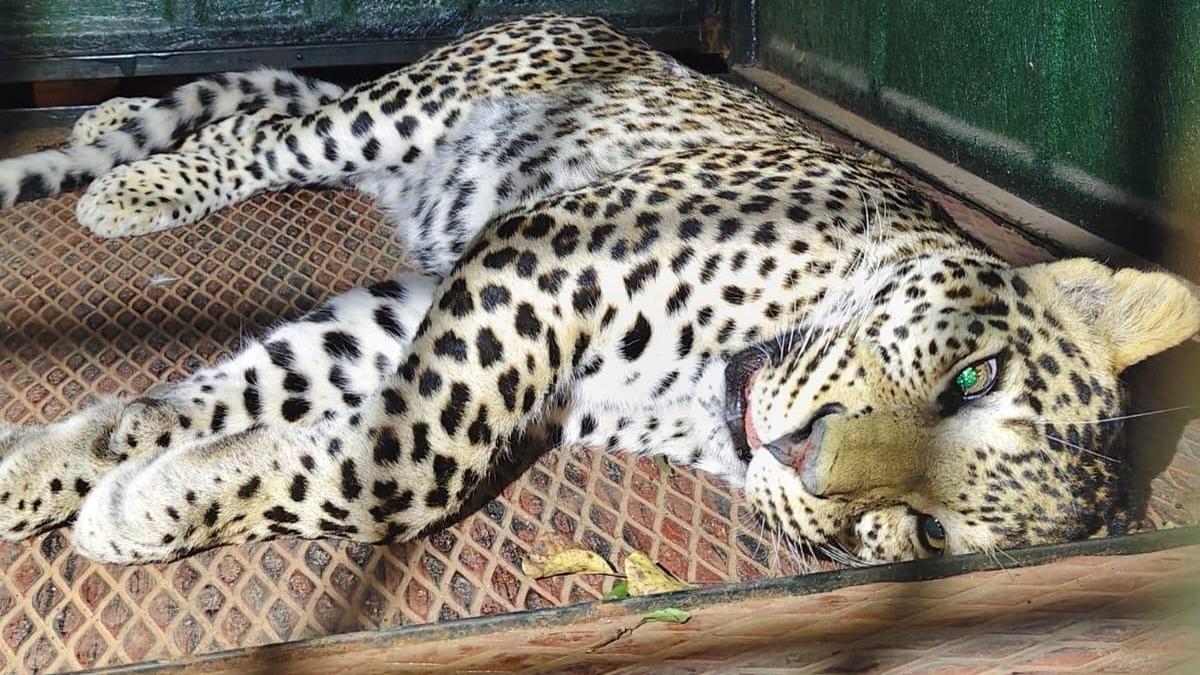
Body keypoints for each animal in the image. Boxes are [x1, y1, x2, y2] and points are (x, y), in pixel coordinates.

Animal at [0, 13, 1196, 567]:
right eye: (972, 375)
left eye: (931, 539)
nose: (798, 451)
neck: (702, 392)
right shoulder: (543, 255)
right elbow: (405, 470)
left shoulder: (468, 322)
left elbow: (267, 416)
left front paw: (102, 481)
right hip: (402, 114)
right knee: (265, 131)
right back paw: (130, 183)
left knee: (268, 110)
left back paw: (114, 131)